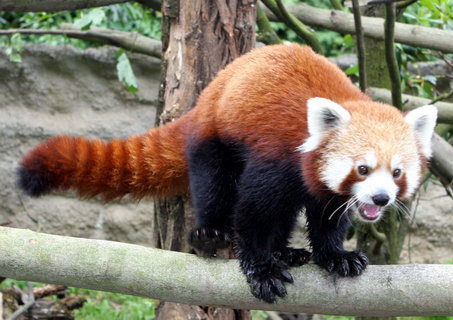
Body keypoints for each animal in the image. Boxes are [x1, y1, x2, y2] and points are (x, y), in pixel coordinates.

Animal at [19, 44, 436, 302]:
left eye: (397, 172)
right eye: (362, 169)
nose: (380, 198)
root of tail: (208, 94)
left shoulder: (327, 190)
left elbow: (328, 218)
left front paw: (336, 255)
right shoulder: (275, 156)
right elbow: (254, 211)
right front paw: (261, 267)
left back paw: (285, 251)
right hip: (215, 139)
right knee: (214, 184)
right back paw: (211, 233)